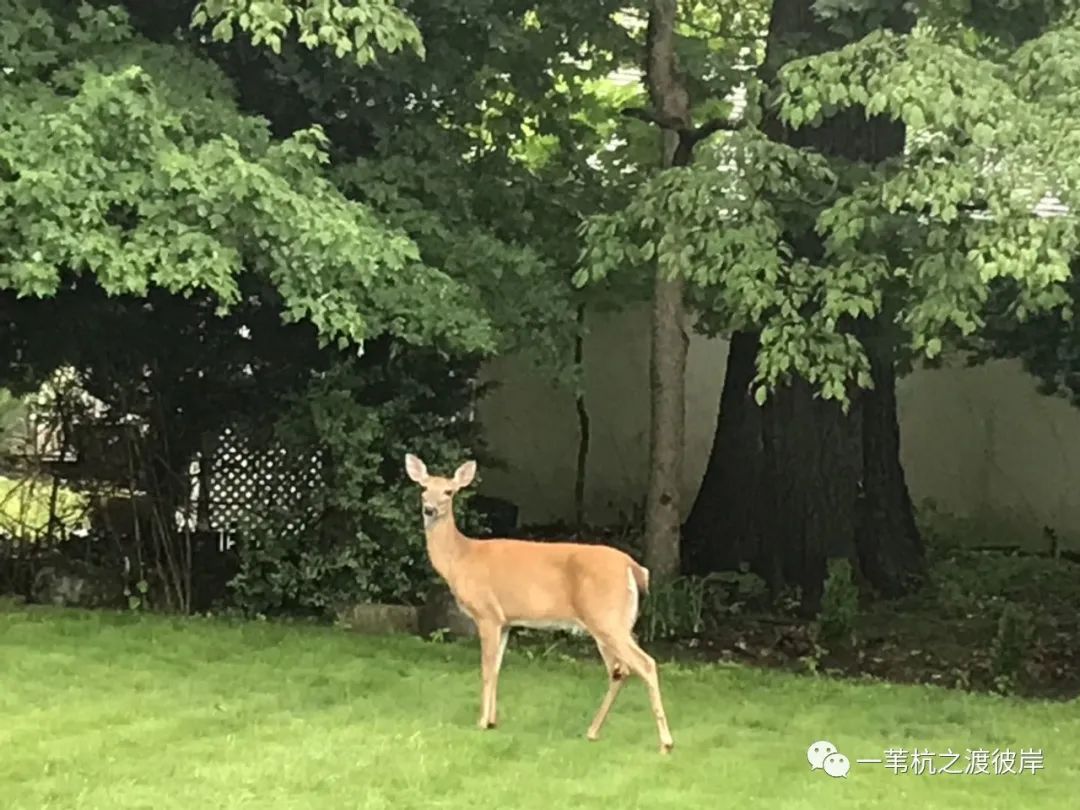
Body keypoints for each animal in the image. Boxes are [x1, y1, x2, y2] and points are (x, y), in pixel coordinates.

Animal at [406, 453, 673, 760]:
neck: (460, 558)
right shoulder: (506, 621)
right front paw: (493, 720)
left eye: (449, 492)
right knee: (621, 670)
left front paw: (482, 722)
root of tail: (635, 568)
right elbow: (497, 668)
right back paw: (592, 732)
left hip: (606, 618)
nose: (429, 509)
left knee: (645, 663)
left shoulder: (487, 614)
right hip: (615, 623)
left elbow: (486, 668)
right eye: (424, 488)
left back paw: (665, 743)